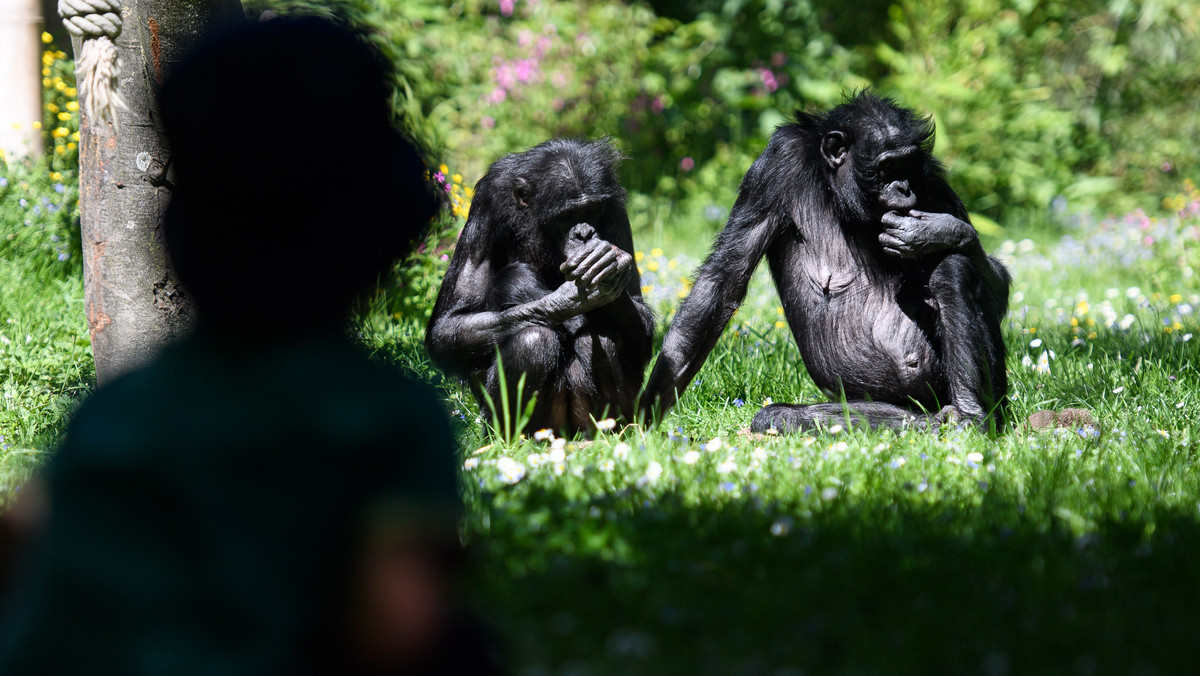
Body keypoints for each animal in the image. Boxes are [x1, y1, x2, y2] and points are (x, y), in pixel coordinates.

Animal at [427, 138, 657, 434]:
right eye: (567, 215)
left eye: (591, 210)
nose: (584, 233)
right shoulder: (487, 206)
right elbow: (449, 326)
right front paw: (564, 299)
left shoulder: (615, 210)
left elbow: (641, 330)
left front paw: (607, 266)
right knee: (533, 340)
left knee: (602, 338)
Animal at [643, 91, 1008, 434]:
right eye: (887, 168)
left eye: (907, 167)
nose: (904, 189)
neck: (835, 189)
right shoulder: (774, 165)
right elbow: (722, 282)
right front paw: (645, 412)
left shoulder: (931, 178)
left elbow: (997, 286)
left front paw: (941, 232)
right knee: (786, 415)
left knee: (951, 268)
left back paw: (970, 416)